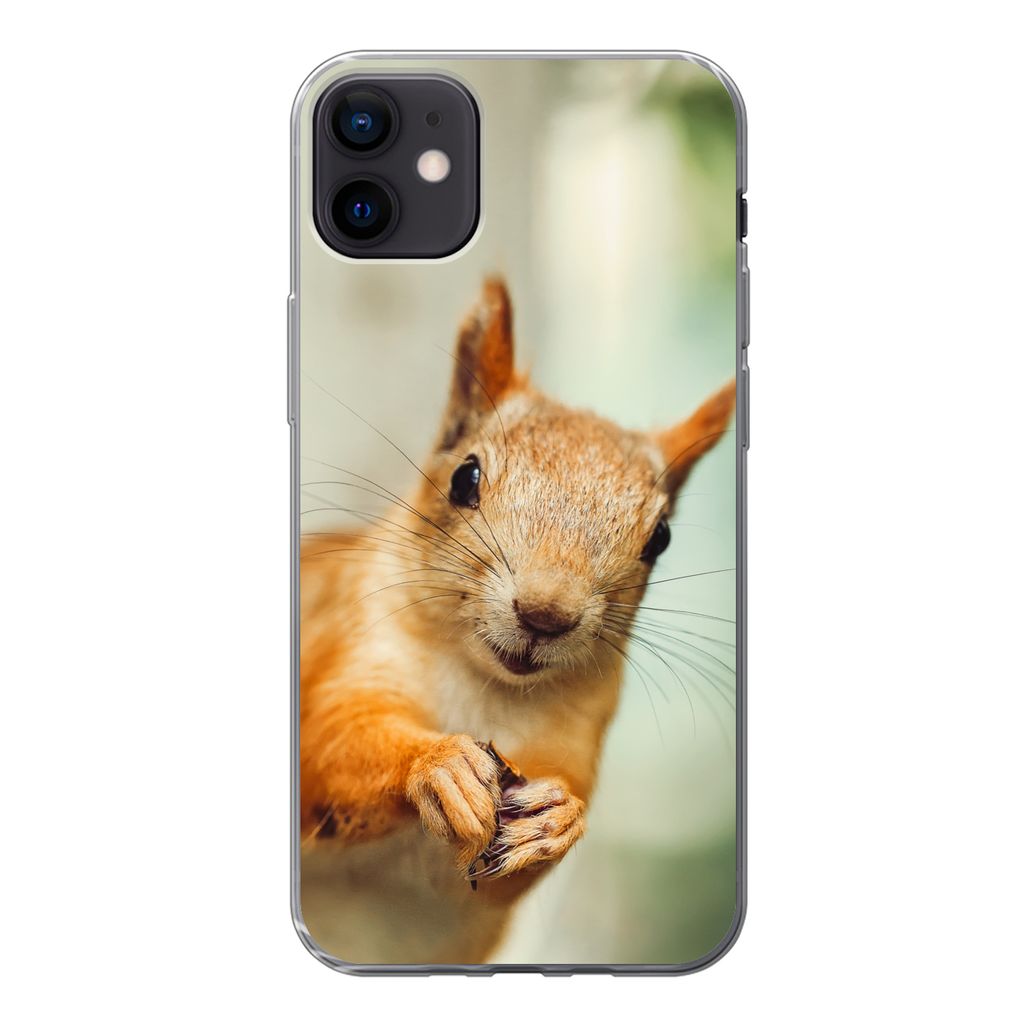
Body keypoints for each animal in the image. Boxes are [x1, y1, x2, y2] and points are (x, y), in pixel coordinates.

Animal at [299, 278, 735, 965]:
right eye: (464, 477)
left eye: (660, 538)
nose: (546, 614)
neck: (485, 690)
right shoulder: (345, 646)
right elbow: (330, 745)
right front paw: (437, 765)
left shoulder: (571, 742)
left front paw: (558, 820)